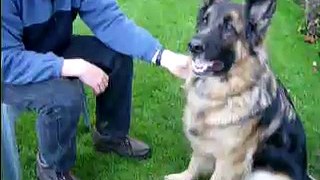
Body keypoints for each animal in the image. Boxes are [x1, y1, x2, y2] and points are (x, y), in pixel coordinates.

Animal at [164, 0, 312, 180]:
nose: (193, 46)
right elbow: (194, 163)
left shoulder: (230, 161)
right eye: (205, 20)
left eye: (229, 27)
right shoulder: (204, 145)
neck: (227, 94)